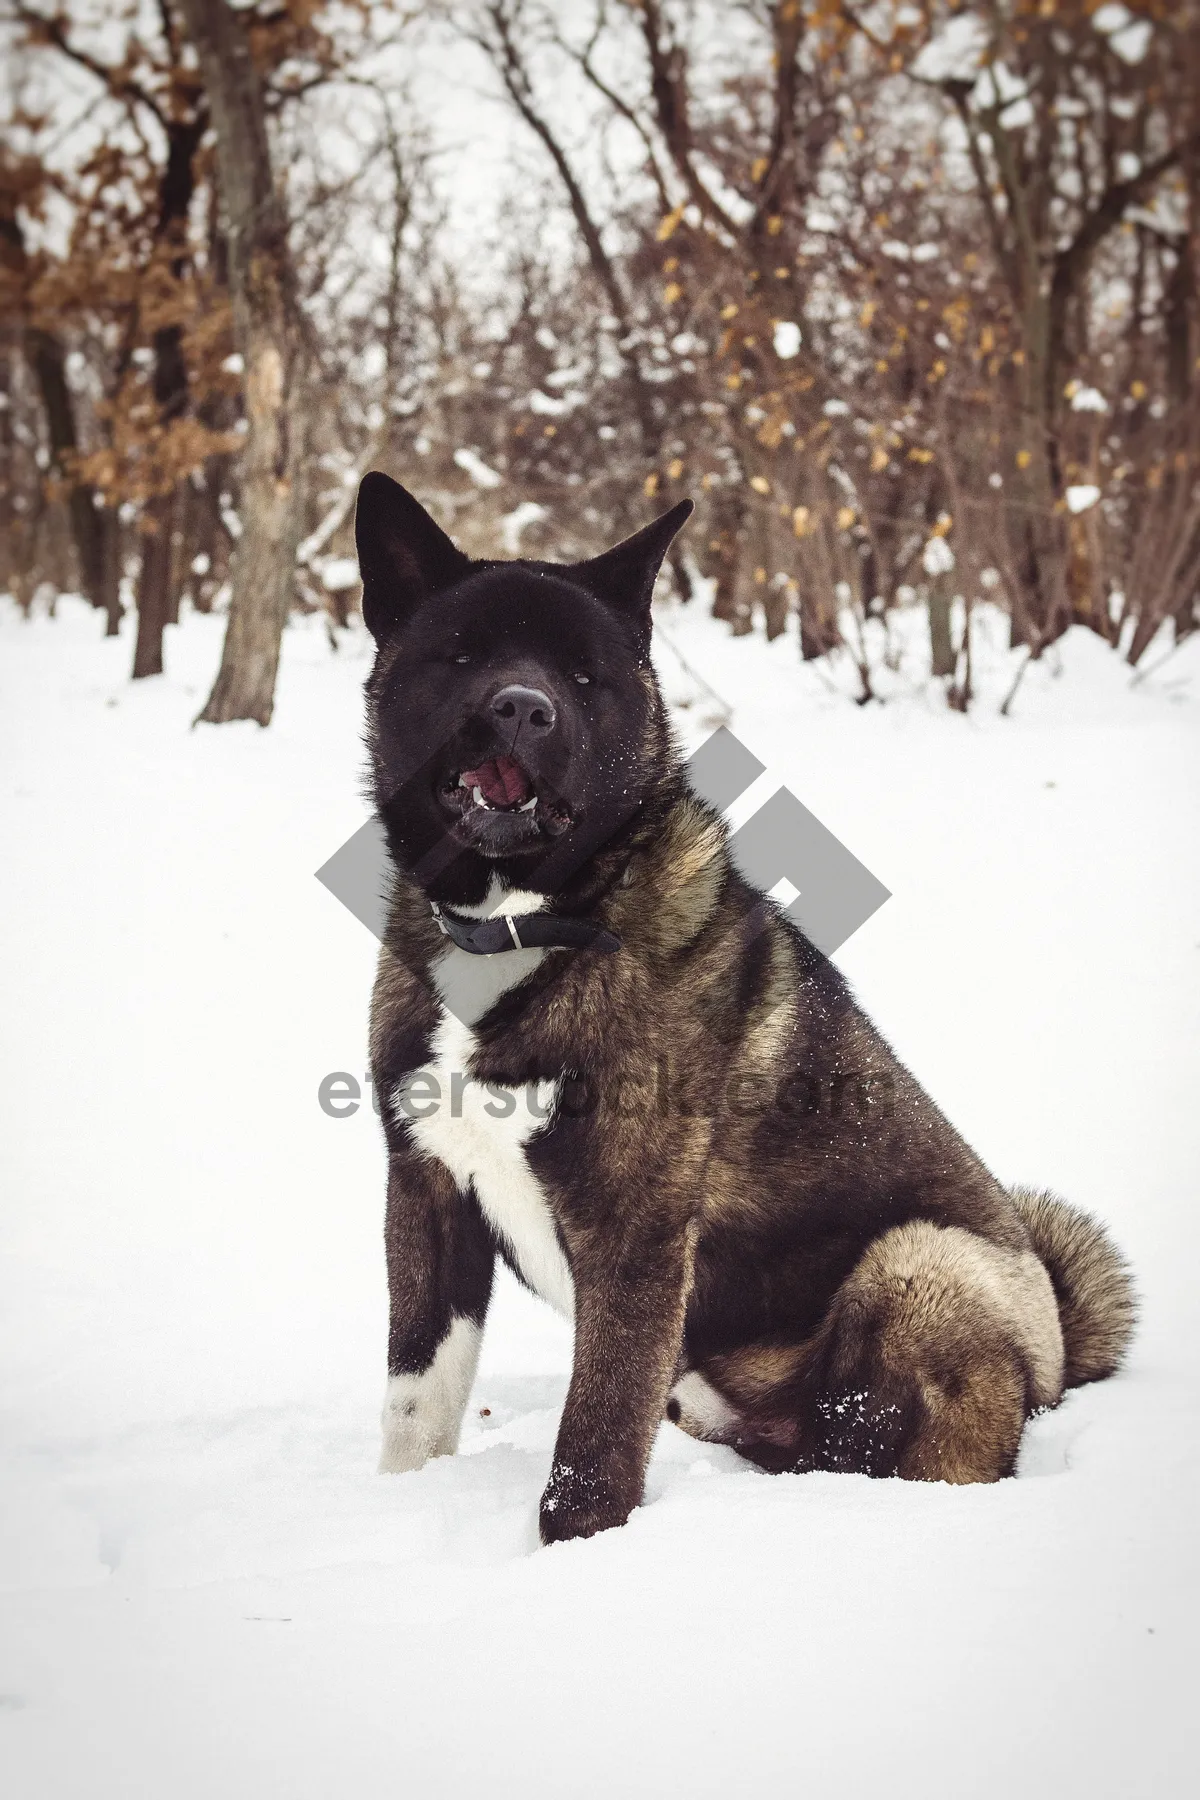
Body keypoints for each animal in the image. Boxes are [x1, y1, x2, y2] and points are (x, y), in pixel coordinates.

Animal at [356, 475, 1137, 1548]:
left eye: (584, 673)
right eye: (463, 654)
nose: (522, 707)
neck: (524, 923)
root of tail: (1057, 1353)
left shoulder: (635, 1234)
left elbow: (592, 1448)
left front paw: (569, 1557)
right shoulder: (427, 1195)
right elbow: (413, 1404)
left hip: (921, 1262)